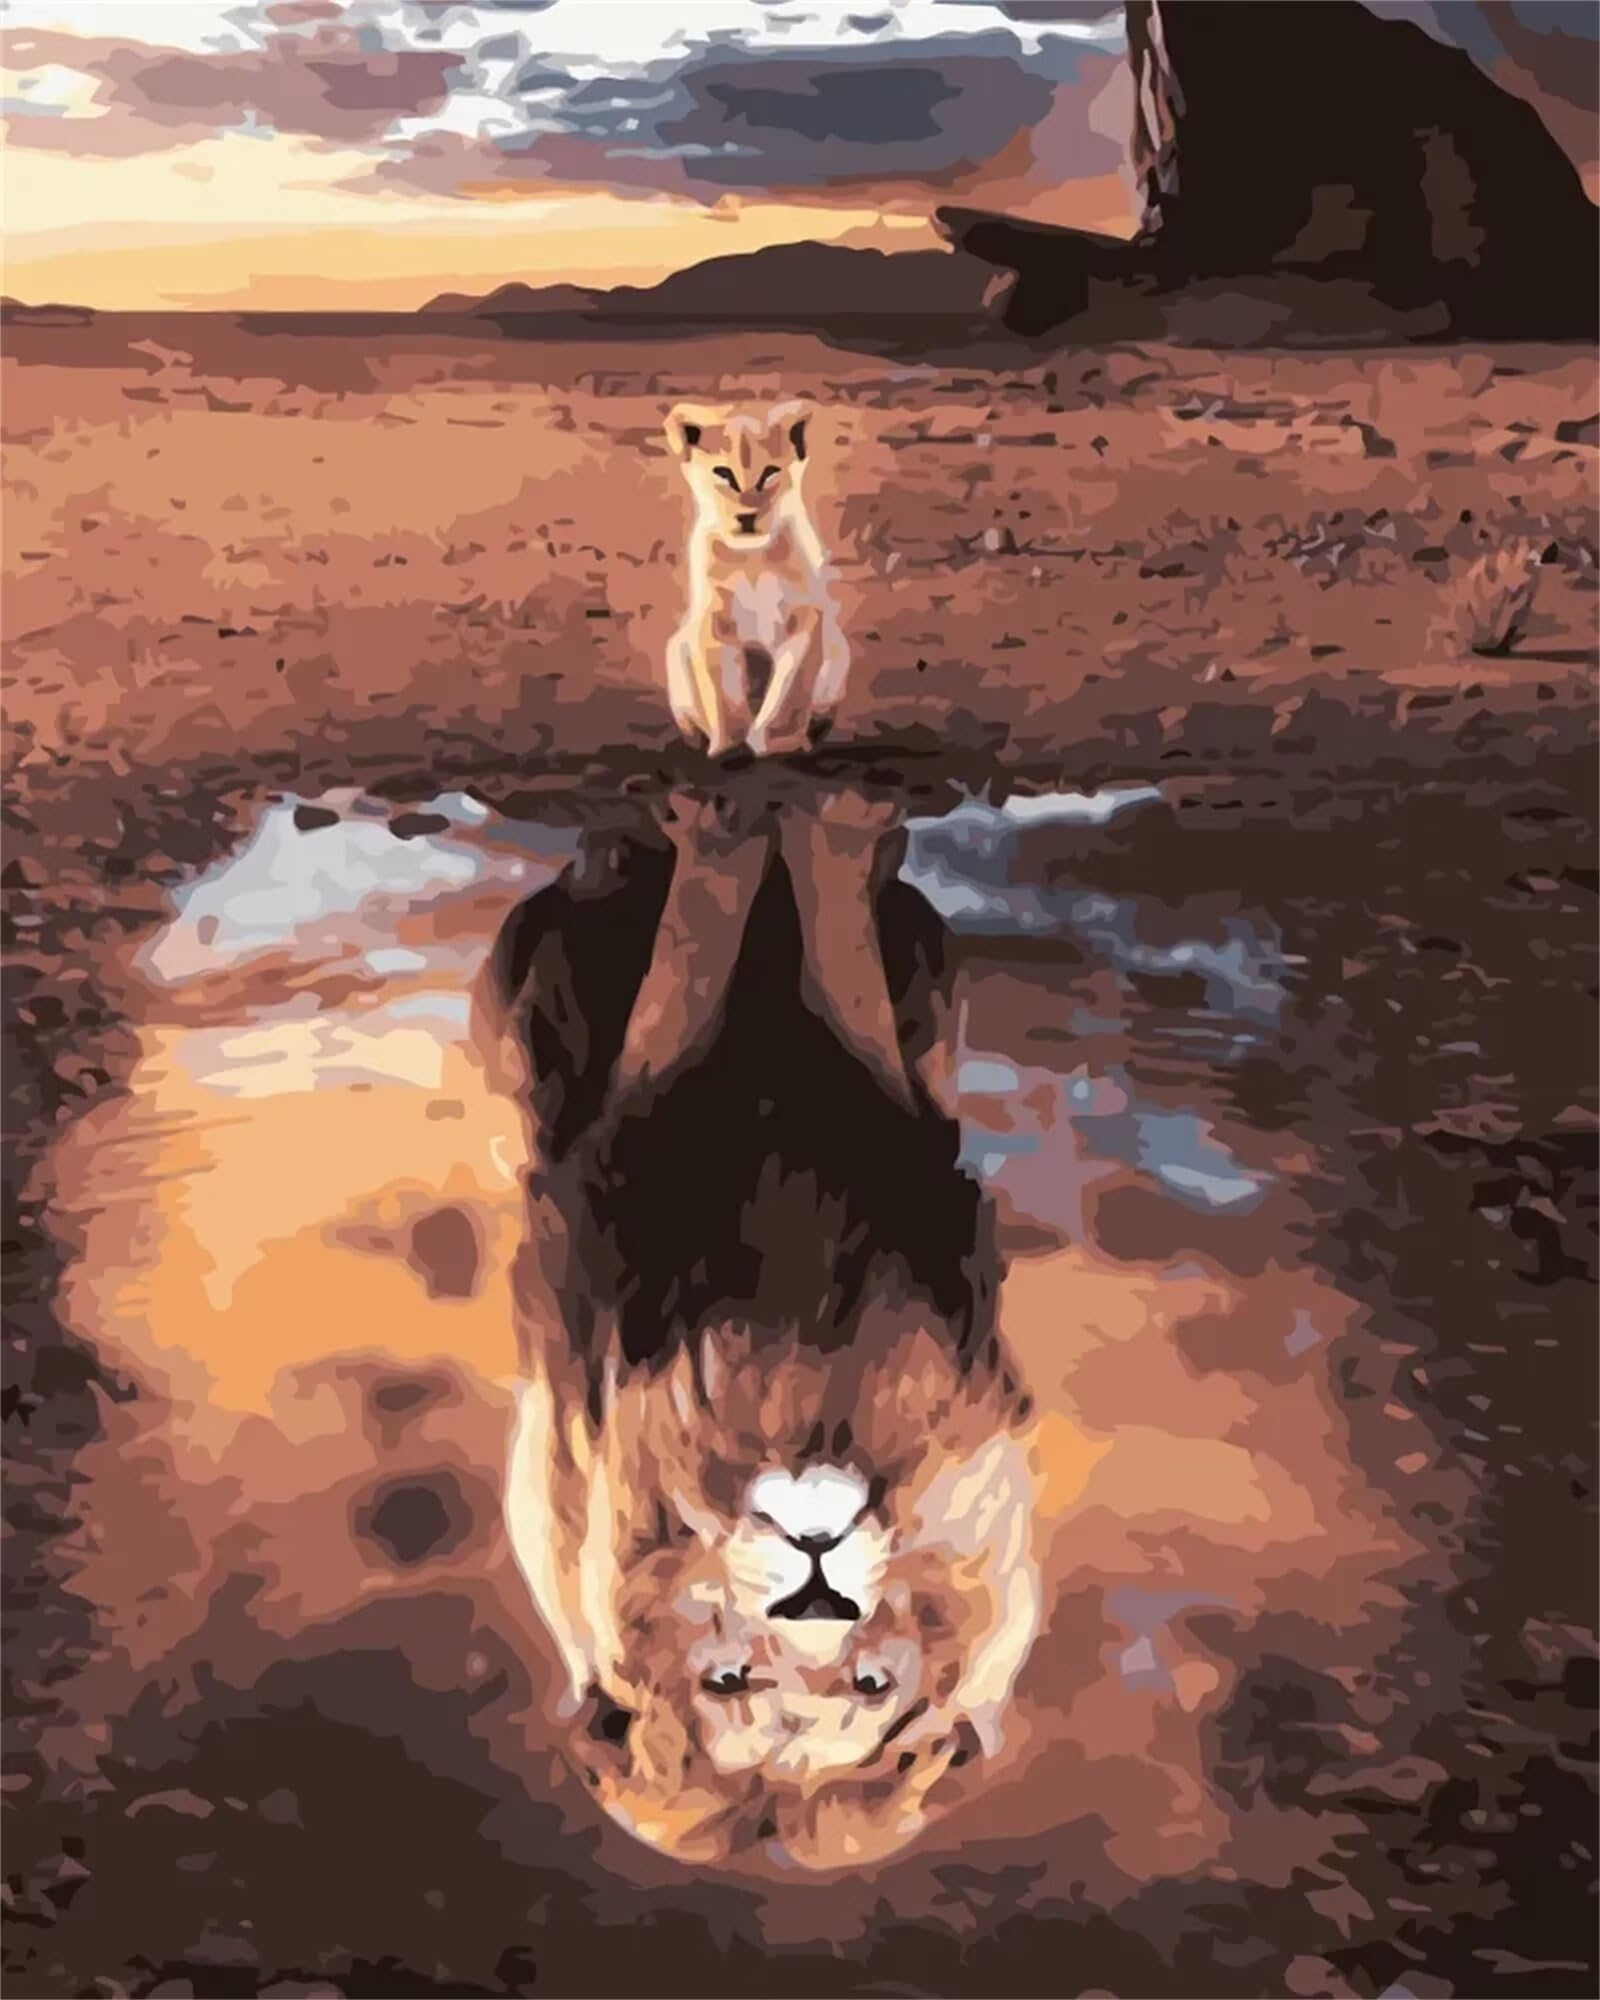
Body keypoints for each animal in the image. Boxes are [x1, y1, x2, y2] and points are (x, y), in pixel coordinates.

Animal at [477, 792, 1041, 1870]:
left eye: (871, 1683)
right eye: (729, 1679)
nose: (818, 1585)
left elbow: (814, 925)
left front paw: (818, 812)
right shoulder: (624, 1130)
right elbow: (712, 922)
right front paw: (739, 808)